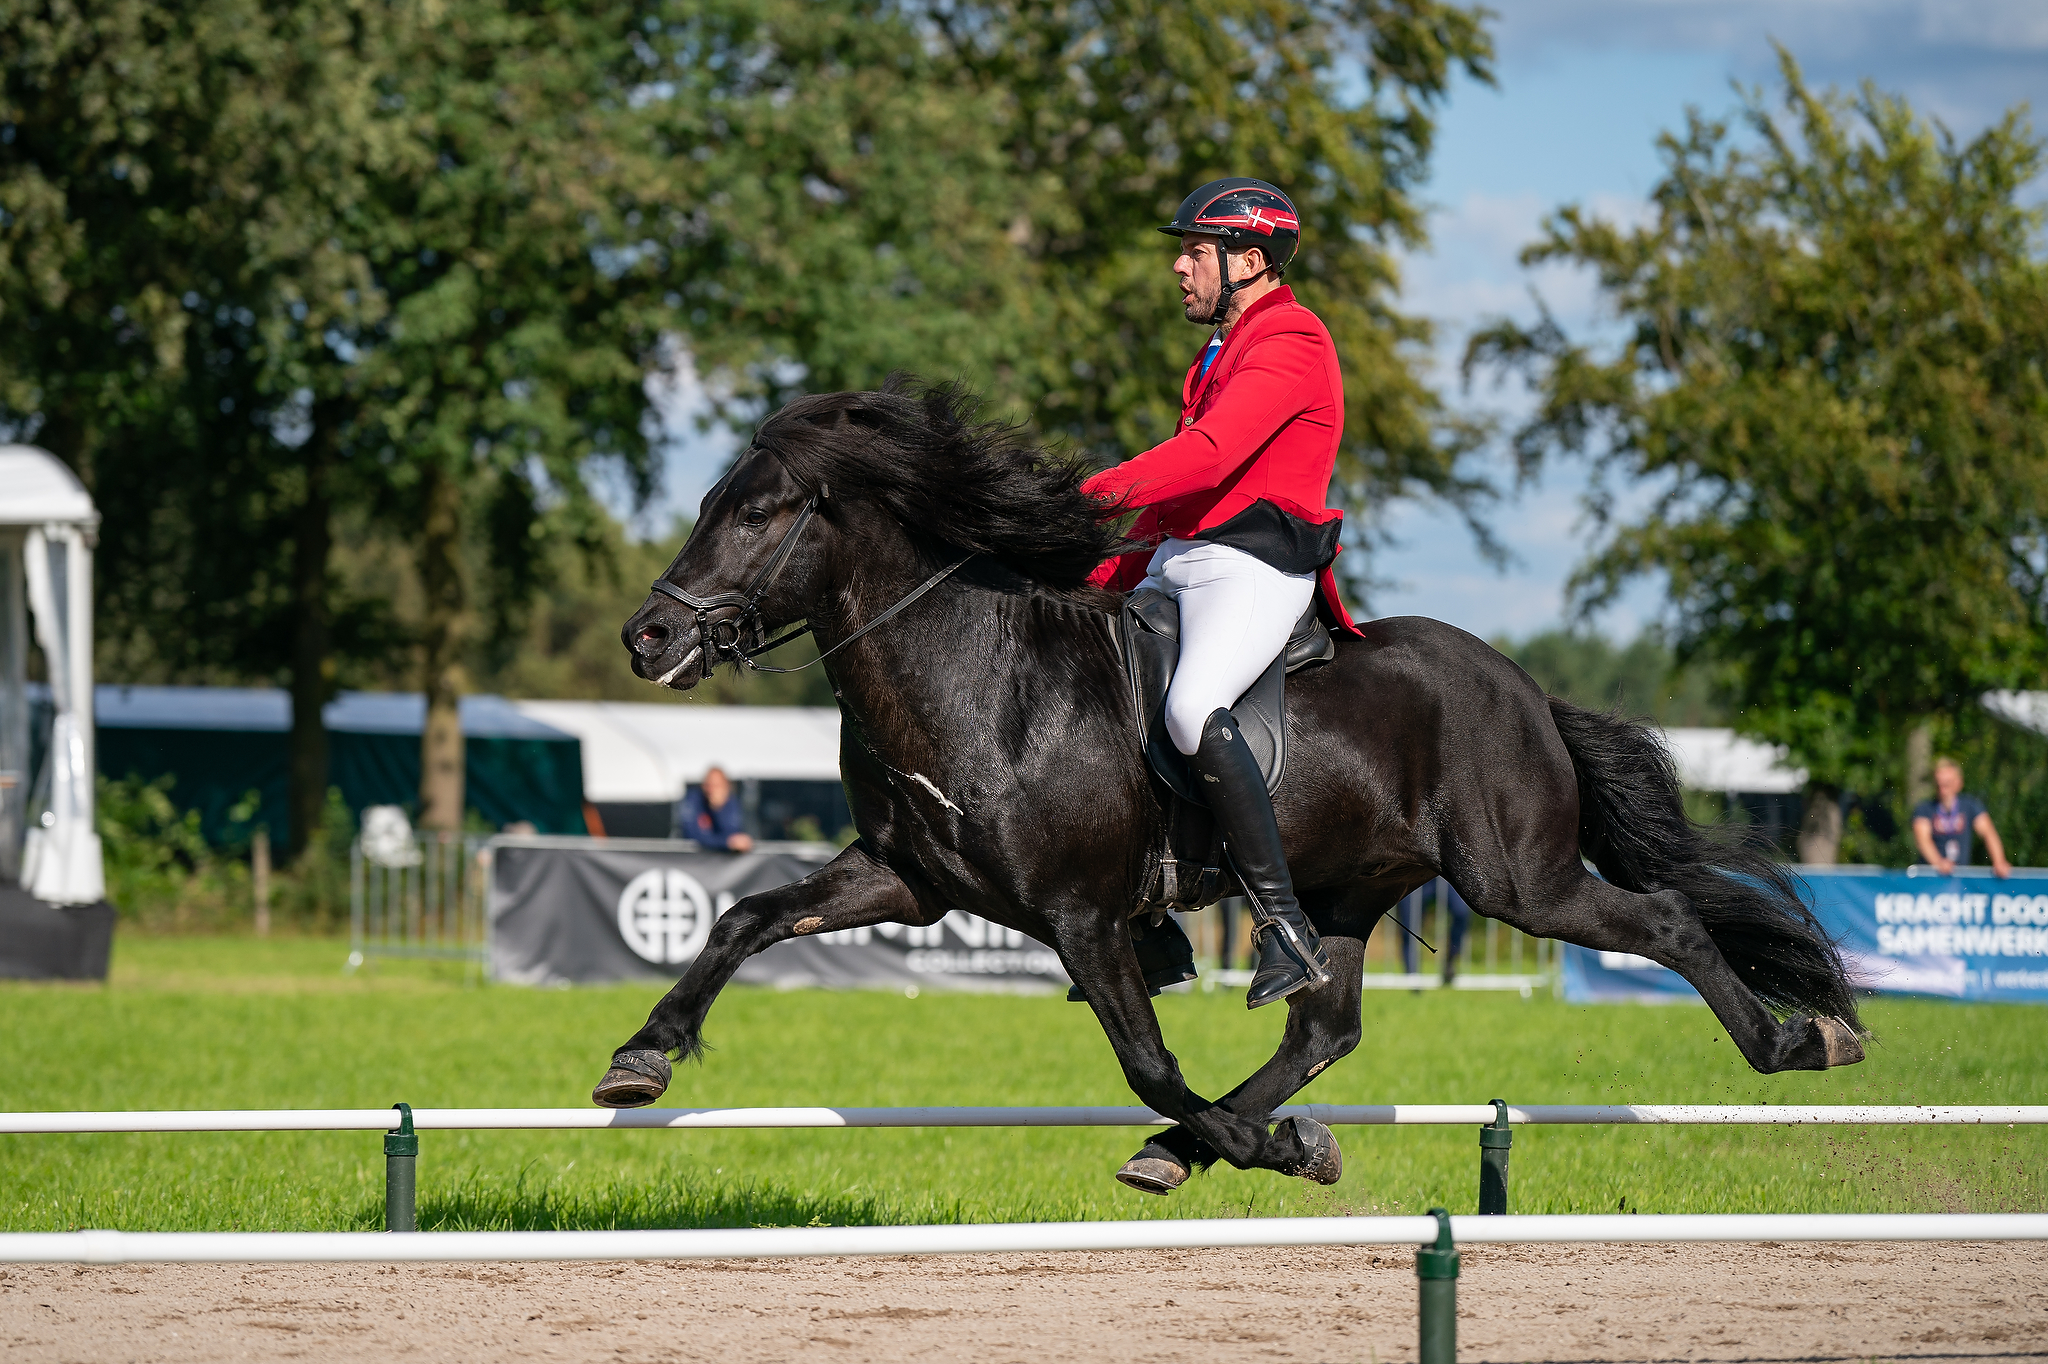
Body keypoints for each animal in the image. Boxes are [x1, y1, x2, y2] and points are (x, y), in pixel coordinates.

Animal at [589, 382, 1859, 1187]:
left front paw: (1281, 1149)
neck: (972, 675)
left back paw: (1798, 1040)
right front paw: (641, 1054)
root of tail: (1521, 685)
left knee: (1664, 918)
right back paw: (1204, 1143)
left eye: (758, 511)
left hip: (1517, 879)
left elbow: (1146, 1061)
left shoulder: (1082, 914)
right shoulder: (909, 876)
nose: (647, 637)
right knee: (1324, 1026)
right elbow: (748, 915)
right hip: (1342, 890)